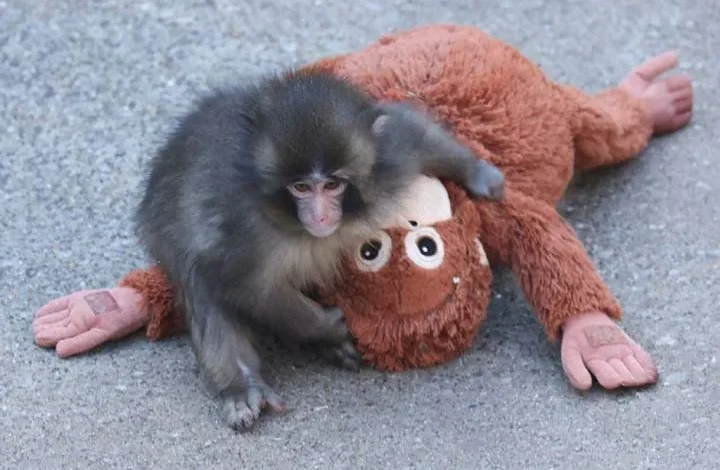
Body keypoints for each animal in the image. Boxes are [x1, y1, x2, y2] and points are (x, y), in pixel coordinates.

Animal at [134, 69, 504, 431]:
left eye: (331, 184)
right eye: (300, 187)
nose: (320, 215)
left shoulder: (388, 159)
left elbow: (411, 130)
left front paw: (479, 173)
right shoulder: (240, 228)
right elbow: (245, 286)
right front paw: (328, 327)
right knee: (199, 280)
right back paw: (242, 385)